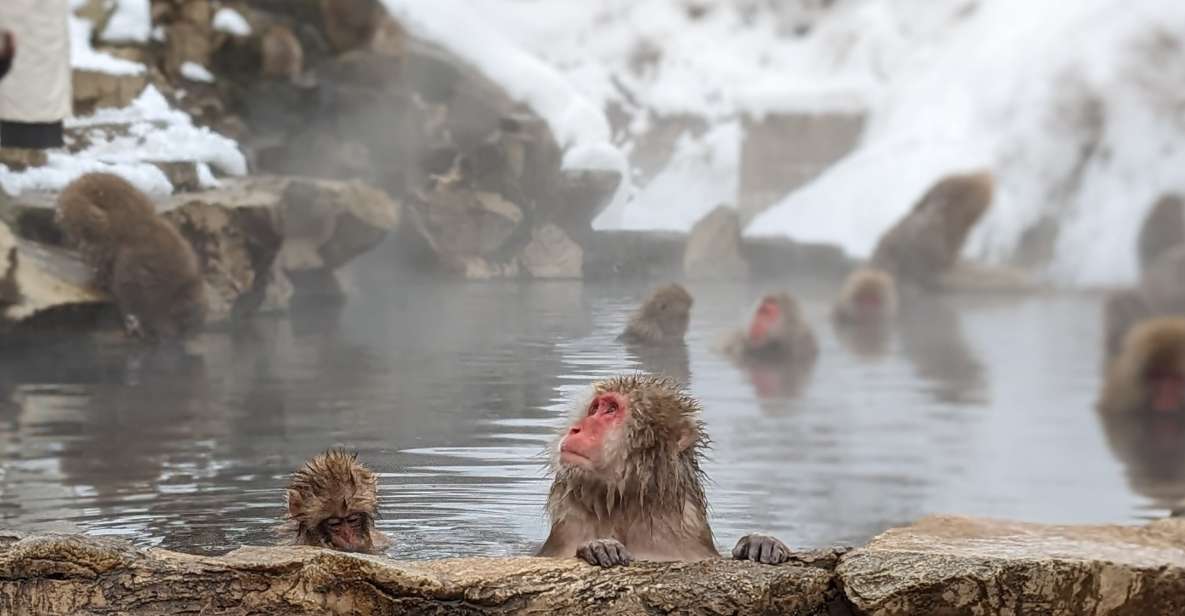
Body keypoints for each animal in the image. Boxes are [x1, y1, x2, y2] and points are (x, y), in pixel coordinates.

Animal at [537, 374, 792, 567]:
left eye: (611, 409)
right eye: (594, 409)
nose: (575, 429)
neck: (624, 501)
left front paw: (760, 542)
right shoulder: (568, 527)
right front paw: (599, 545)